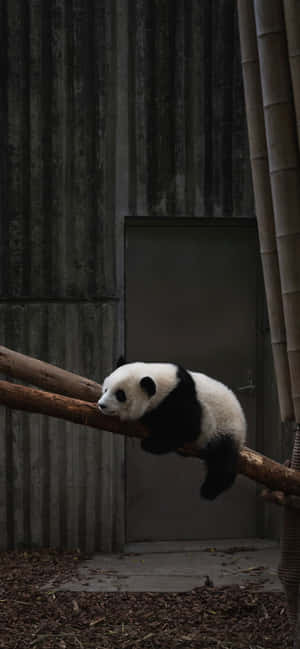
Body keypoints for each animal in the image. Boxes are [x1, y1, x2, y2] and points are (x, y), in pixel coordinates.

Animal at [97, 362, 245, 498]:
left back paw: (210, 489)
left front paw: (150, 443)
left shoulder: (181, 399)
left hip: (225, 427)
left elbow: (187, 429)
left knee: (222, 459)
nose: (101, 405)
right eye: (106, 389)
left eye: (120, 395)